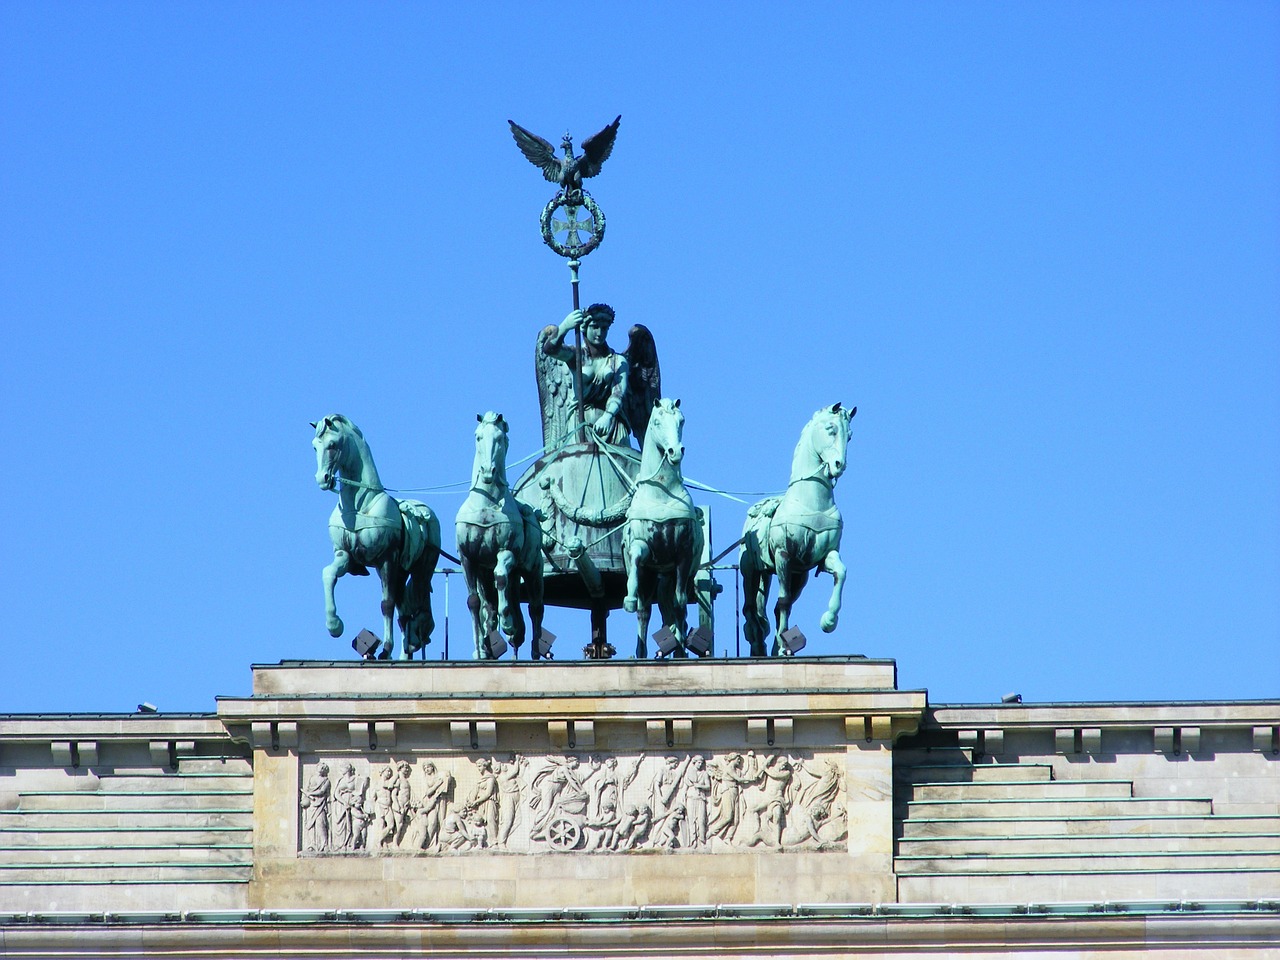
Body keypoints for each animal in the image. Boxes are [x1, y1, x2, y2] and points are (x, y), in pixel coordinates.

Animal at [312, 414, 442, 660]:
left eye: (332, 445)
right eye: (315, 446)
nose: (322, 480)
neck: (359, 505)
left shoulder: (386, 559)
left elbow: (386, 604)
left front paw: (386, 649)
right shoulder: (345, 555)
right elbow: (328, 573)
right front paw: (334, 625)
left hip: (420, 570)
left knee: (416, 608)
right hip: (401, 572)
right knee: (404, 614)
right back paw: (406, 653)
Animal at [455, 414, 545, 660]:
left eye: (501, 438)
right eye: (478, 437)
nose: (488, 471)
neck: (486, 504)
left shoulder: (507, 552)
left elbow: (501, 576)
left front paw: (509, 624)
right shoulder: (468, 560)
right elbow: (474, 602)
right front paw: (480, 650)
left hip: (533, 569)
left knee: (535, 608)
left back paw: (534, 651)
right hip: (485, 576)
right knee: (489, 607)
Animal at [622, 399, 706, 660]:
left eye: (682, 420)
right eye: (657, 422)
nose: (675, 451)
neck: (661, 492)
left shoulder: (683, 556)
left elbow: (680, 605)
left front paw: (679, 647)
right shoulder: (643, 549)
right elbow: (636, 557)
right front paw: (629, 597)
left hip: (671, 577)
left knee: (674, 612)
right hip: (653, 577)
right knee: (645, 611)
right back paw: (641, 652)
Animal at [737, 401, 855, 660]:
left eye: (850, 435)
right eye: (831, 429)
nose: (839, 466)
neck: (811, 502)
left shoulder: (823, 557)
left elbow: (841, 572)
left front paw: (829, 621)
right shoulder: (784, 555)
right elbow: (782, 601)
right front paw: (781, 645)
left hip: (797, 576)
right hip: (752, 570)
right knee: (751, 608)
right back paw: (759, 643)